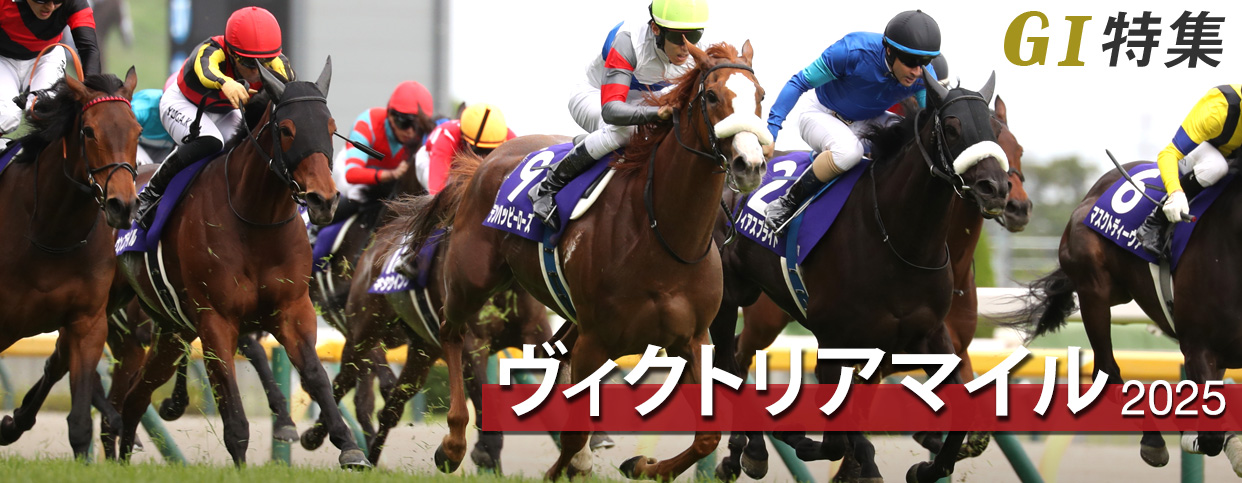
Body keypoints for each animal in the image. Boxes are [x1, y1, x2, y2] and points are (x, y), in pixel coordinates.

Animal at [0, 69, 140, 459]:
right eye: (89, 131)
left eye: (137, 130)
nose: (123, 206)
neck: (51, 233)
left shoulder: (87, 323)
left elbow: (79, 423)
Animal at [110, 59, 369, 468]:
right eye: (286, 129)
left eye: (330, 127)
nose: (324, 200)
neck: (256, 220)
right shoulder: (216, 319)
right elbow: (232, 408)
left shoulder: (293, 309)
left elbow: (315, 375)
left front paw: (348, 445)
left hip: (171, 331)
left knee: (135, 395)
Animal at [298, 195, 554, 469]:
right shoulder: (472, 345)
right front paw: (484, 452)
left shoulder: (537, 337)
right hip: (363, 331)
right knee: (343, 381)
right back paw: (320, 439)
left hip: (422, 353)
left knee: (389, 408)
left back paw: (372, 459)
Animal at [394, 41, 767, 480]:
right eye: (710, 96)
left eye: (760, 96)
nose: (750, 164)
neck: (662, 234)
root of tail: (484, 162)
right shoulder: (598, 338)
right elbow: (574, 434)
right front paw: (561, 470)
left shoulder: (690, 338)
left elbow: (706, 436)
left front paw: (642, 465)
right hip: (472, 278)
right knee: (450, 332)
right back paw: (452, 444)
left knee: (552, 354)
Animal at [707, 72, 1010, 483]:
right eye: (952, 127)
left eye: (993, 129)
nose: (995, 188)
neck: (901, 243)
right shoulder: (835, 338)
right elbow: (836, 434)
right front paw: (809, 441)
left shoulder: (928, 335)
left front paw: (924, 468)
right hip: (728, 297)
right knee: (728, 360)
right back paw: (750, 447)